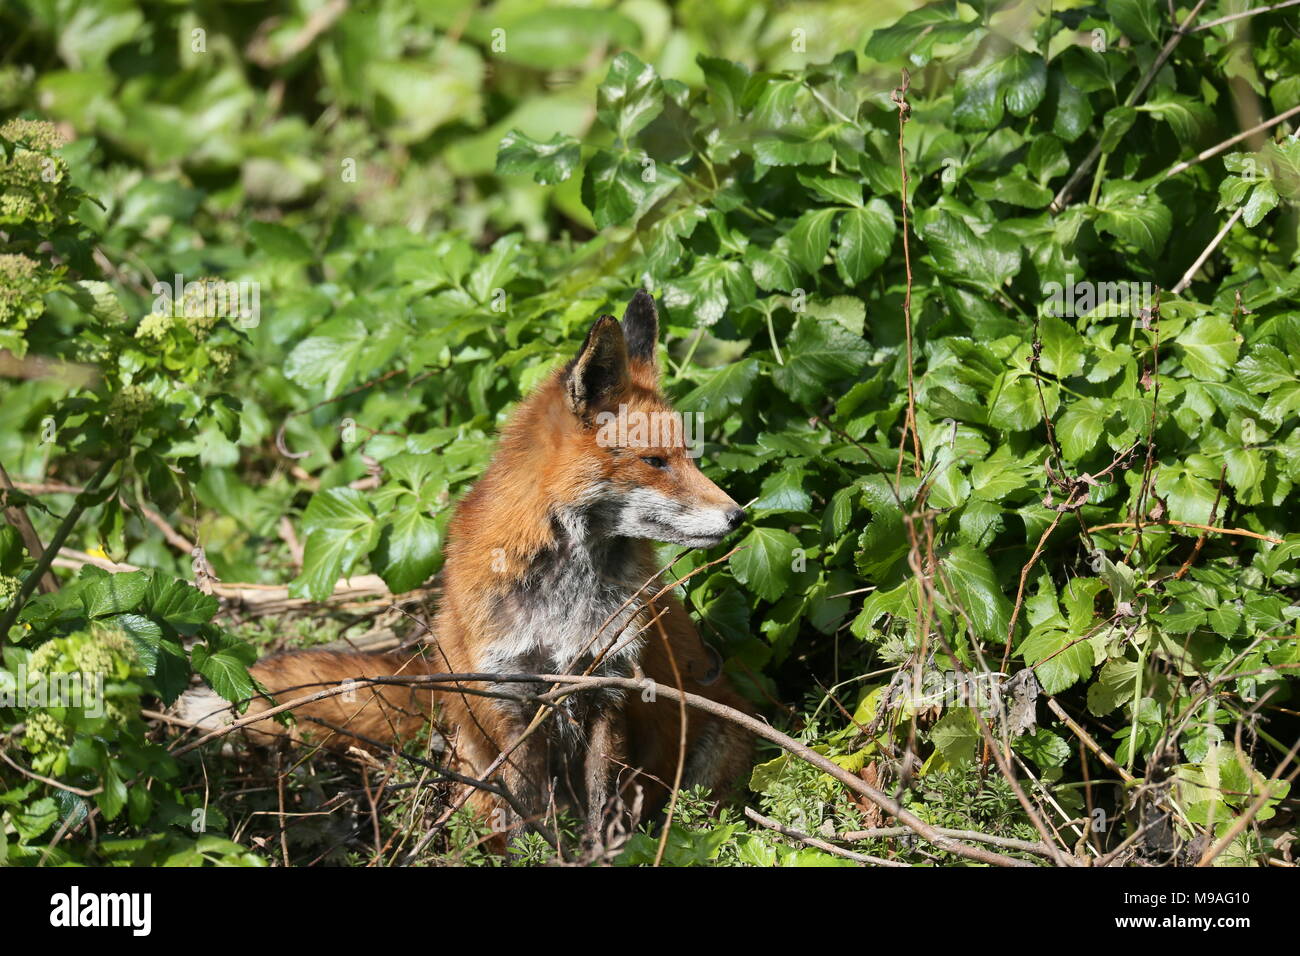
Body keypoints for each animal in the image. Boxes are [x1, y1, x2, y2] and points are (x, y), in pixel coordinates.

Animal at [182, 290, 754, 837]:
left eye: (689, 457)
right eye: (655, 462)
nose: (739, 517)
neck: (566, 597)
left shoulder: (607, 688)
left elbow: (600, 812)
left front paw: (602, 854)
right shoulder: (512, 699)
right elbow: (527, 824)